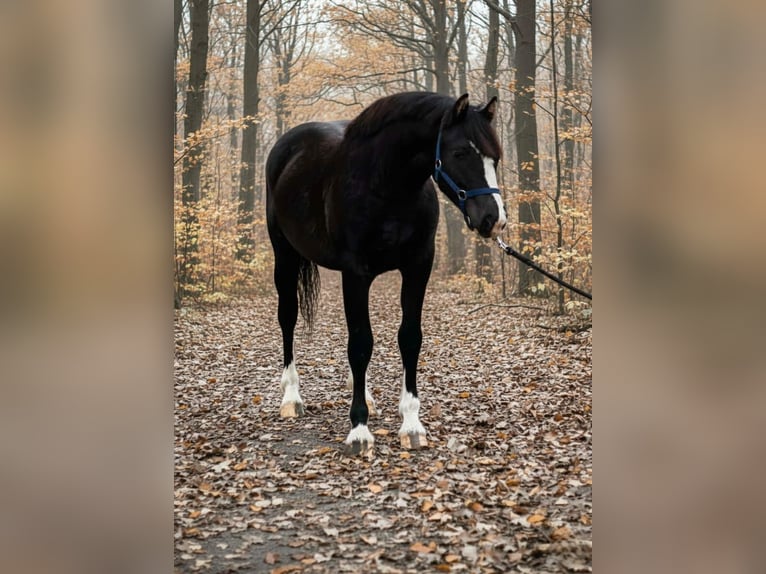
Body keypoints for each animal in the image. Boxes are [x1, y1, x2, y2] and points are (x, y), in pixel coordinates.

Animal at [265, 91, 506, 455]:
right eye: (461, 152)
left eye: (495, 158)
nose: (494, 219)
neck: (386, 186)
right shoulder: (356, 274)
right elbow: (360, 344)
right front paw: (359, 429)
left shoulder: (418, 268)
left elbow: (409, 338)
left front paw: (411, 423)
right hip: (286, 257)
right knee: (288, 318)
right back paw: (292, 397)